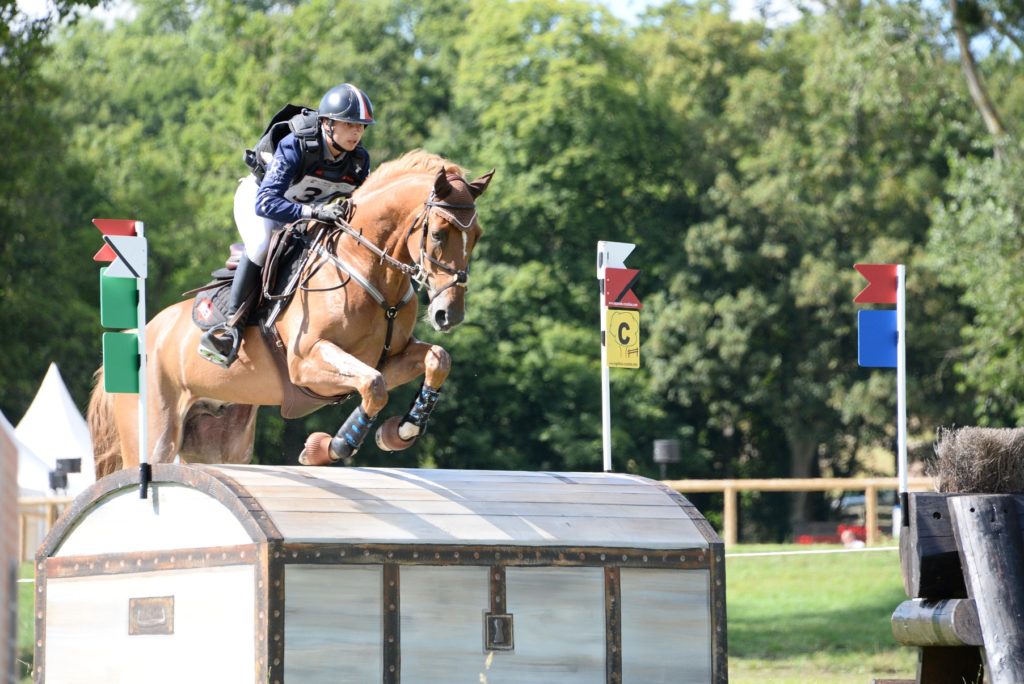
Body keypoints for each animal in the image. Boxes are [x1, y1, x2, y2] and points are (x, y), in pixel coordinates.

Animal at [86, 149, 493, 475]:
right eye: (438, 234)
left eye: (477, 237)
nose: (449, 314)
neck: (367, 267)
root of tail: (140, 336)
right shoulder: (307, 363)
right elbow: (374, 387)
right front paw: (331, 447)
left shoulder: (387, 358)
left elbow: (436, 360)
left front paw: (401, 431)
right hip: (155, 432)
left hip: (218, 440)